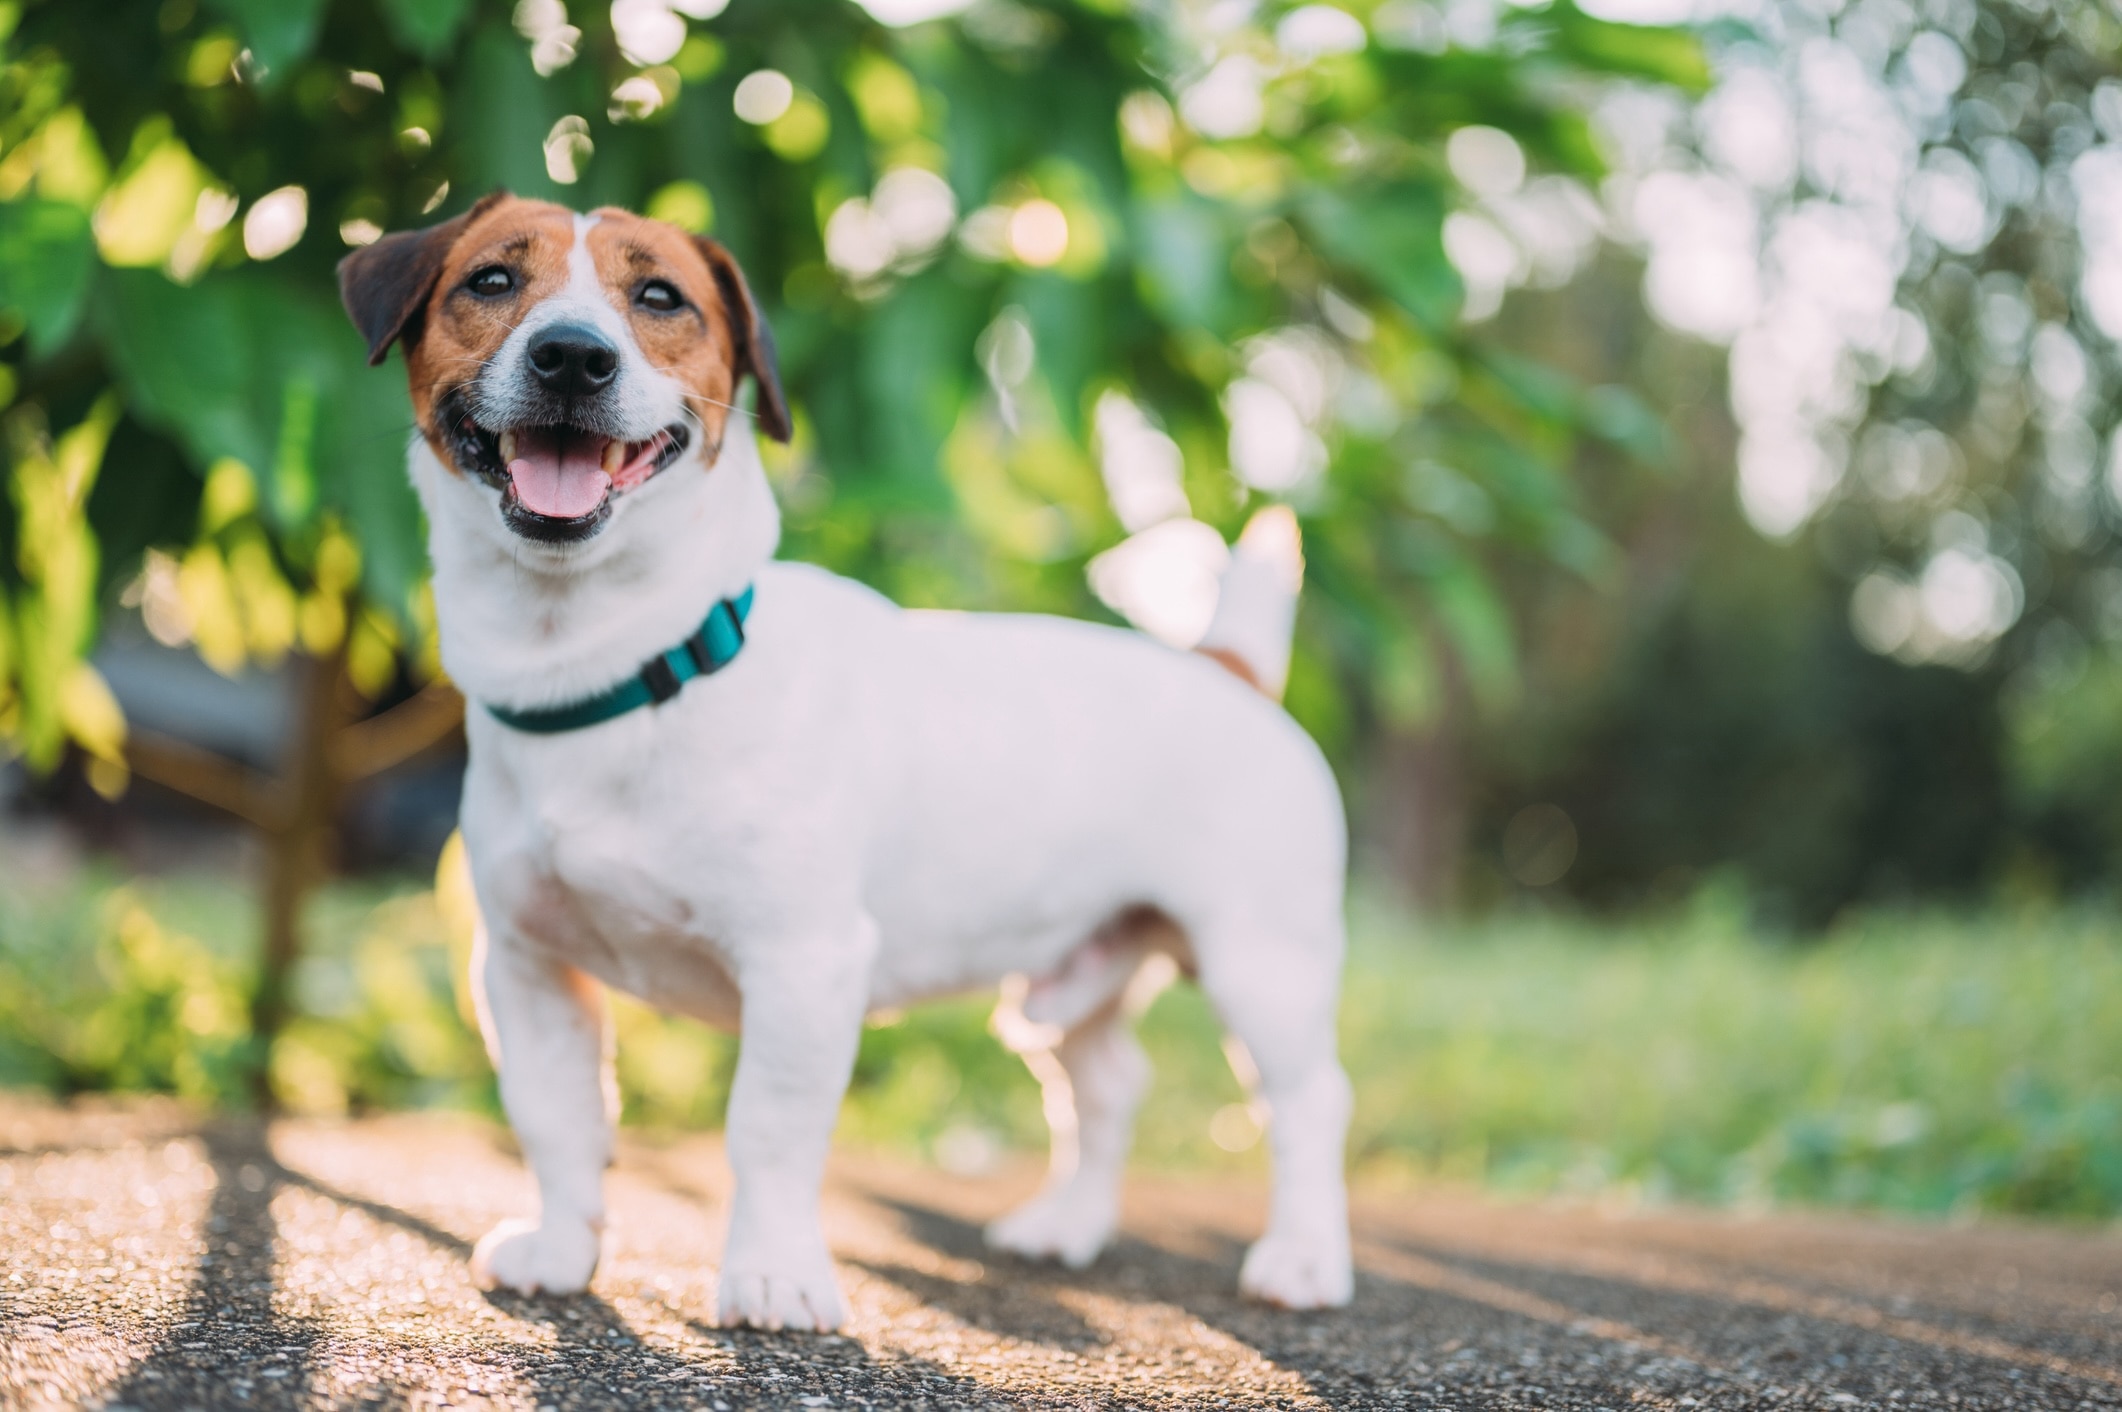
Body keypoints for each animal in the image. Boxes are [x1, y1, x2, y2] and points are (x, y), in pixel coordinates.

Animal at [337, 193, 1349, 1324]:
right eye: (492, 281)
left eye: (660, 297)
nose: (571, 357)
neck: (629, 672)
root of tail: (1227, 668)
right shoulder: (524, 966)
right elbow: (556, 1118)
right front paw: (562, 1245)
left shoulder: (803, 964)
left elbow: (767, 1131)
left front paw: (773, 1271)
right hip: (1078, 965)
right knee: (1108, 1081)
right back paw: (1067, 1225)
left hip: (1263, 963)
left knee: (1309, 1101)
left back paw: (1304, 1258)